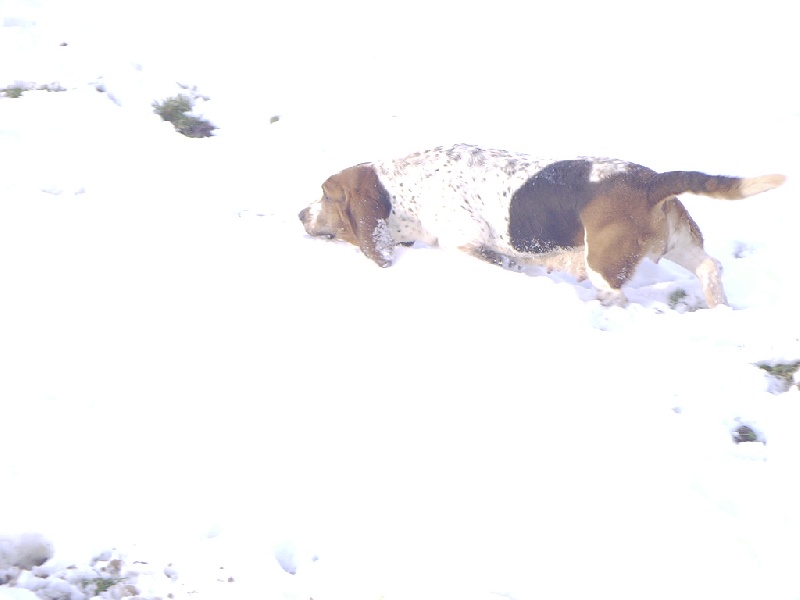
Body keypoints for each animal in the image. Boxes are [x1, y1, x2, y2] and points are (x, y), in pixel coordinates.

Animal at [299, 144, 785, 307]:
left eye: (325, 195)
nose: (300, 214)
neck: (406, 184)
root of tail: (649, 181)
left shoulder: (467, 244)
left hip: (604, 266)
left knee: (617, 296)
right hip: (678, 245)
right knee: (710, 268)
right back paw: (720, 310)